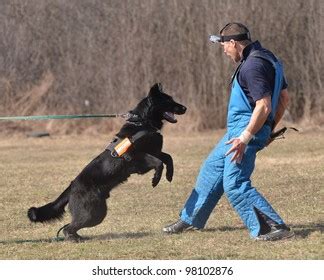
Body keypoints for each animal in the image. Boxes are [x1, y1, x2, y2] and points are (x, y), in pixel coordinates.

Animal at [27, 82, 186, 241]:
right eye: (168, 101)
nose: (185, 108)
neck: (142, 123)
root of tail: (71, 187)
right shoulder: (137, 159)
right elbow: (158, 162)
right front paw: (156, 179)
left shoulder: (155, 152)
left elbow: (168, 158)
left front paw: (169, 175)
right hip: (92, 213)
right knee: (68, 227)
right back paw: (74, 239)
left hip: (97, 213)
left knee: (69, 226)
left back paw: (78, 237)